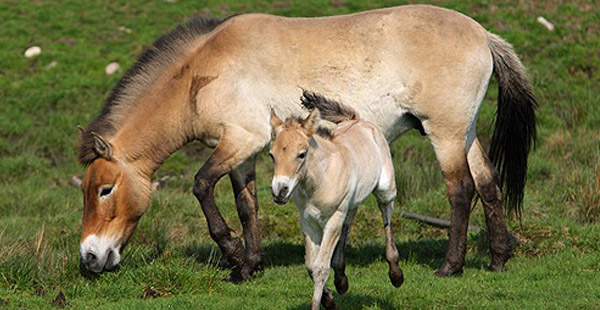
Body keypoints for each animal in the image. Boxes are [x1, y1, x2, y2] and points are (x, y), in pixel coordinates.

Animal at [77, 4, 536, 280]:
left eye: (105, 190)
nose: (90, 257)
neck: (203, 71)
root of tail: (483, 34)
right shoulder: (243, 153)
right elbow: (247, 206)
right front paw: (251, 266)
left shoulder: (240, 140)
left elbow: (202, 186)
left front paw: (234, 256)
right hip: (465, 132)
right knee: (488, 184)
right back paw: (497, 259)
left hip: (444, 134)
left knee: (461, 190)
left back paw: (450, 266)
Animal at [272, 92, 404, 310]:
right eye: (271, 155)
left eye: (301, 154)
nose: (279, 191)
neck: (321, 180)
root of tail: (358, 120)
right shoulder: (307, 222)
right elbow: (310, 265)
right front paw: (330, 300)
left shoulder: (333, 220)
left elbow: (320, 268)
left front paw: (321, 304)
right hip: (351, 202)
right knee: (349, 222)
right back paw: (341, 279)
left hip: (386, 189)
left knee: (386, 212)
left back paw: (395, 273)